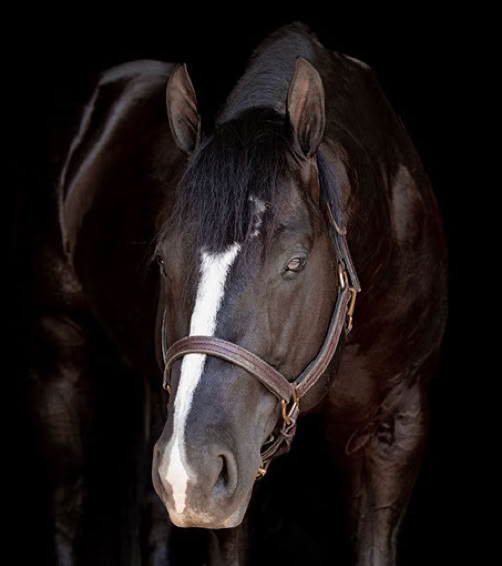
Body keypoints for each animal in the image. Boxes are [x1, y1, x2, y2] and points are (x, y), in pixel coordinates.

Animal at [26, 22, 447, 566]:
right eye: (163, 261)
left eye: (294, 262)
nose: (190, 473)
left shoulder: (394, 432)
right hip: (61, 352)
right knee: (67, 505)